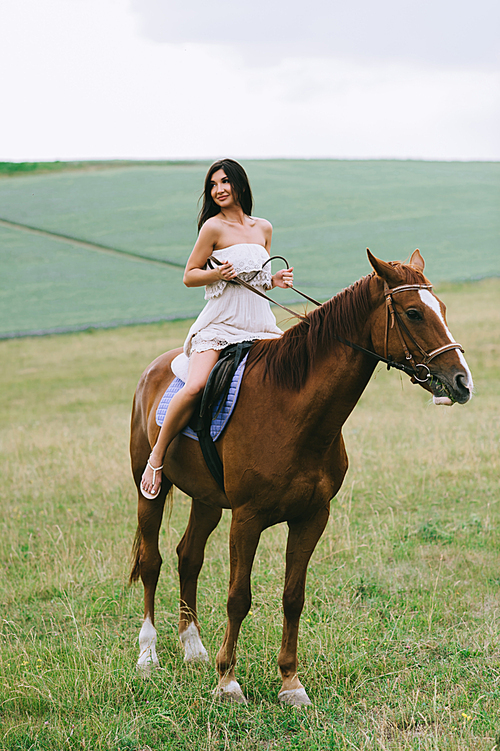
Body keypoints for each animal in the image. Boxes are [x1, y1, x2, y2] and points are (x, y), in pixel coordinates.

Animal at [129, 250, 472, 708]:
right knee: (152, 562)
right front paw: (228, 681)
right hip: (150, 489)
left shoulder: (312, 517)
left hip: (207, 500)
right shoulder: (247, 519)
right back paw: (148, 655)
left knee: (189, 557)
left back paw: (193, 647)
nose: (462, 381)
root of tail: (153, 370)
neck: (293, 410)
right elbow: (238, 597)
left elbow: (293, 597)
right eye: (414, 312)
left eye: (443, 309)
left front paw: (290, 682)